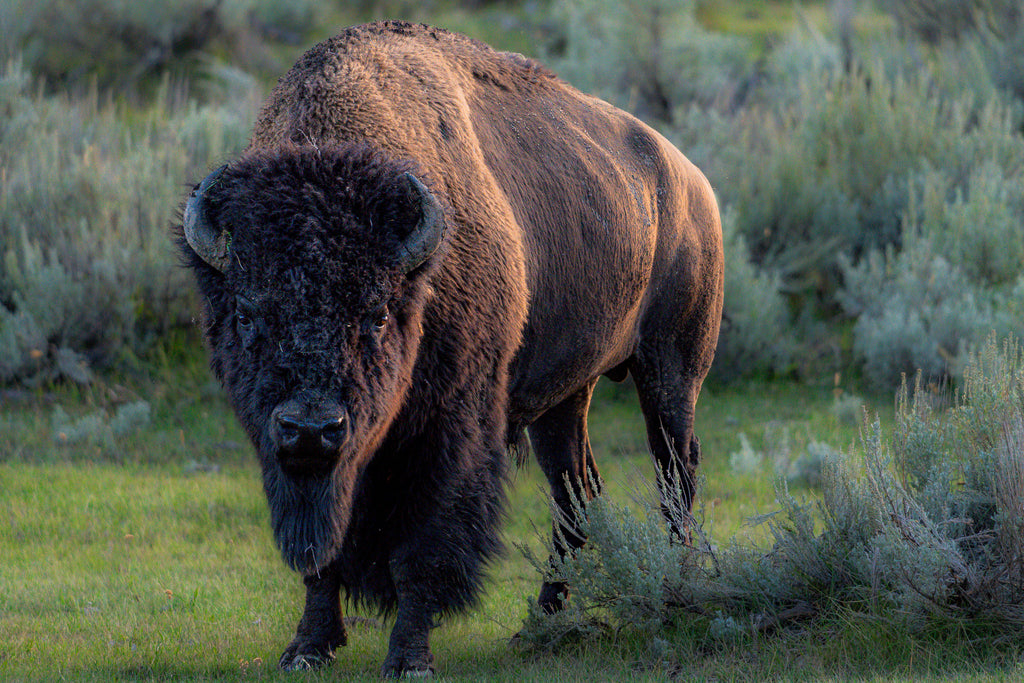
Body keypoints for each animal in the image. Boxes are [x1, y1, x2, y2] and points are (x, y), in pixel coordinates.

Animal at [180, 21, 722, 678]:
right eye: (246, 314)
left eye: (378, 313)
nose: (311, 429)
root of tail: (690, 180)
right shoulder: (304, 462)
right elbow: (323, 553)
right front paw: (307, 648)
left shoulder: (446, 430)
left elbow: (423, 546)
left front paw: (409, 659)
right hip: (565, 397)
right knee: (576, 491)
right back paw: (540, 625)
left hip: (672, 369)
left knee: (675, 473)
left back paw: (673, 594)